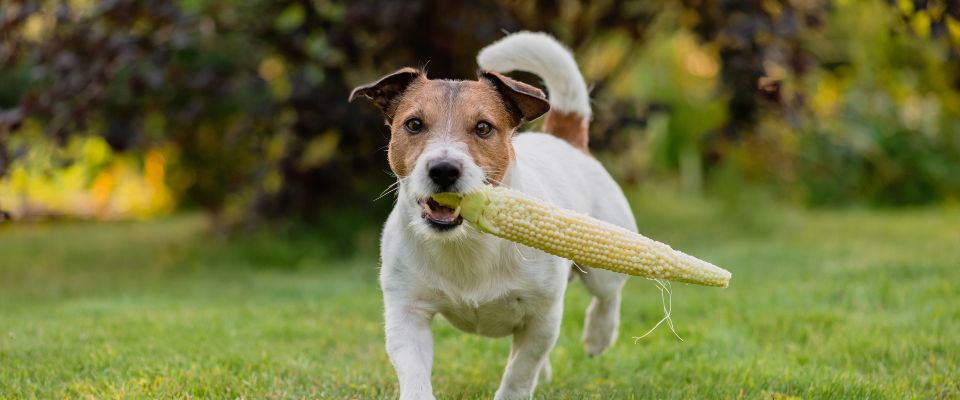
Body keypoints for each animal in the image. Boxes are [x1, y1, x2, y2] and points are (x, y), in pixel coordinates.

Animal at [348, 32, 632, 400]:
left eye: (483, 128)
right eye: (413, 124)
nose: (443, 170)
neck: (468, 241)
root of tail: (565, 140)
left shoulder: (542, 316)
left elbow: (520, 371)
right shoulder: (407, 310)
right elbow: (413, 369)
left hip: (605, 259)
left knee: (608, 295)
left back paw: (599, 334)